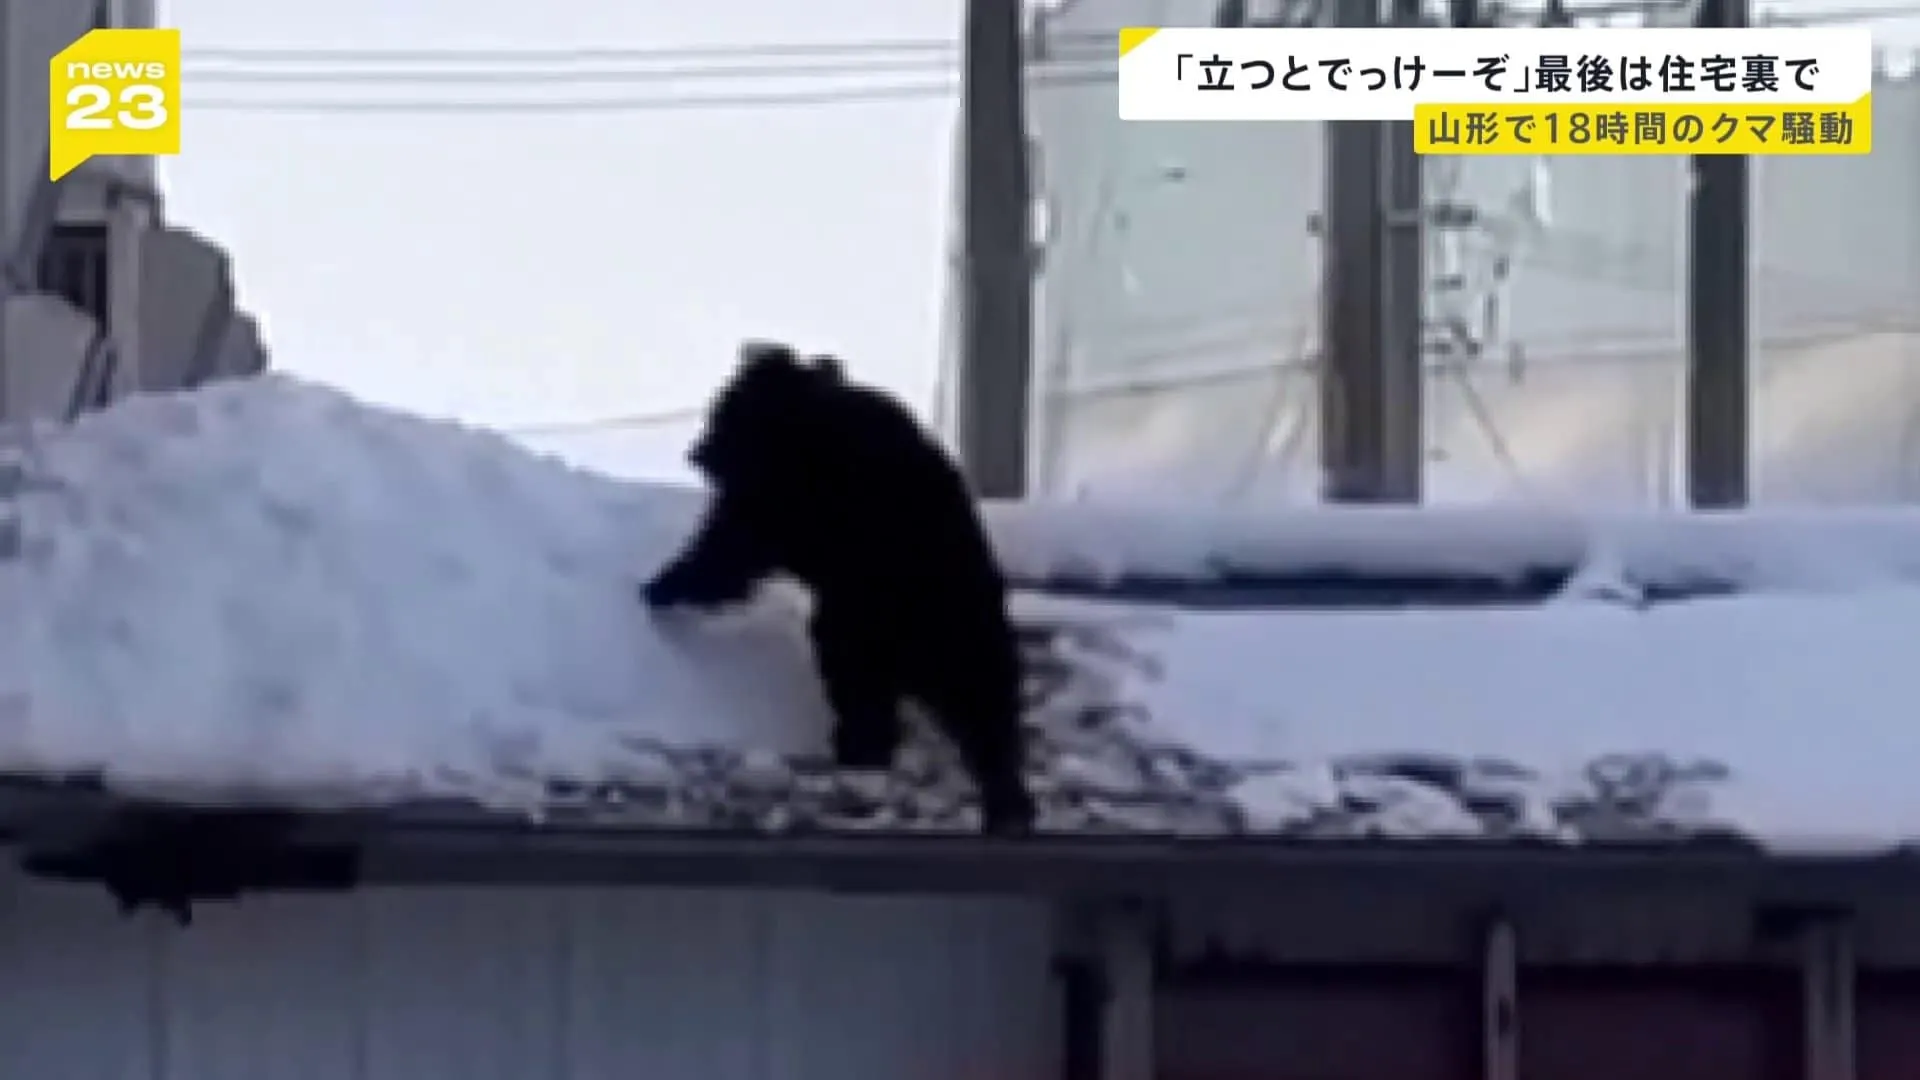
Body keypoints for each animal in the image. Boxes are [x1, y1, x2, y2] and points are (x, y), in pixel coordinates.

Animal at [645, 340, 1036, 826]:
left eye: (721, 412)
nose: (696, 453)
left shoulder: (776, 503)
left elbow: (728, 549)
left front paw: (663, 587)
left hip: (869, 627)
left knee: (862, 687)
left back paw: (860, 748)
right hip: (968, 647)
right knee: (986, 713)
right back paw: (1006, 798)